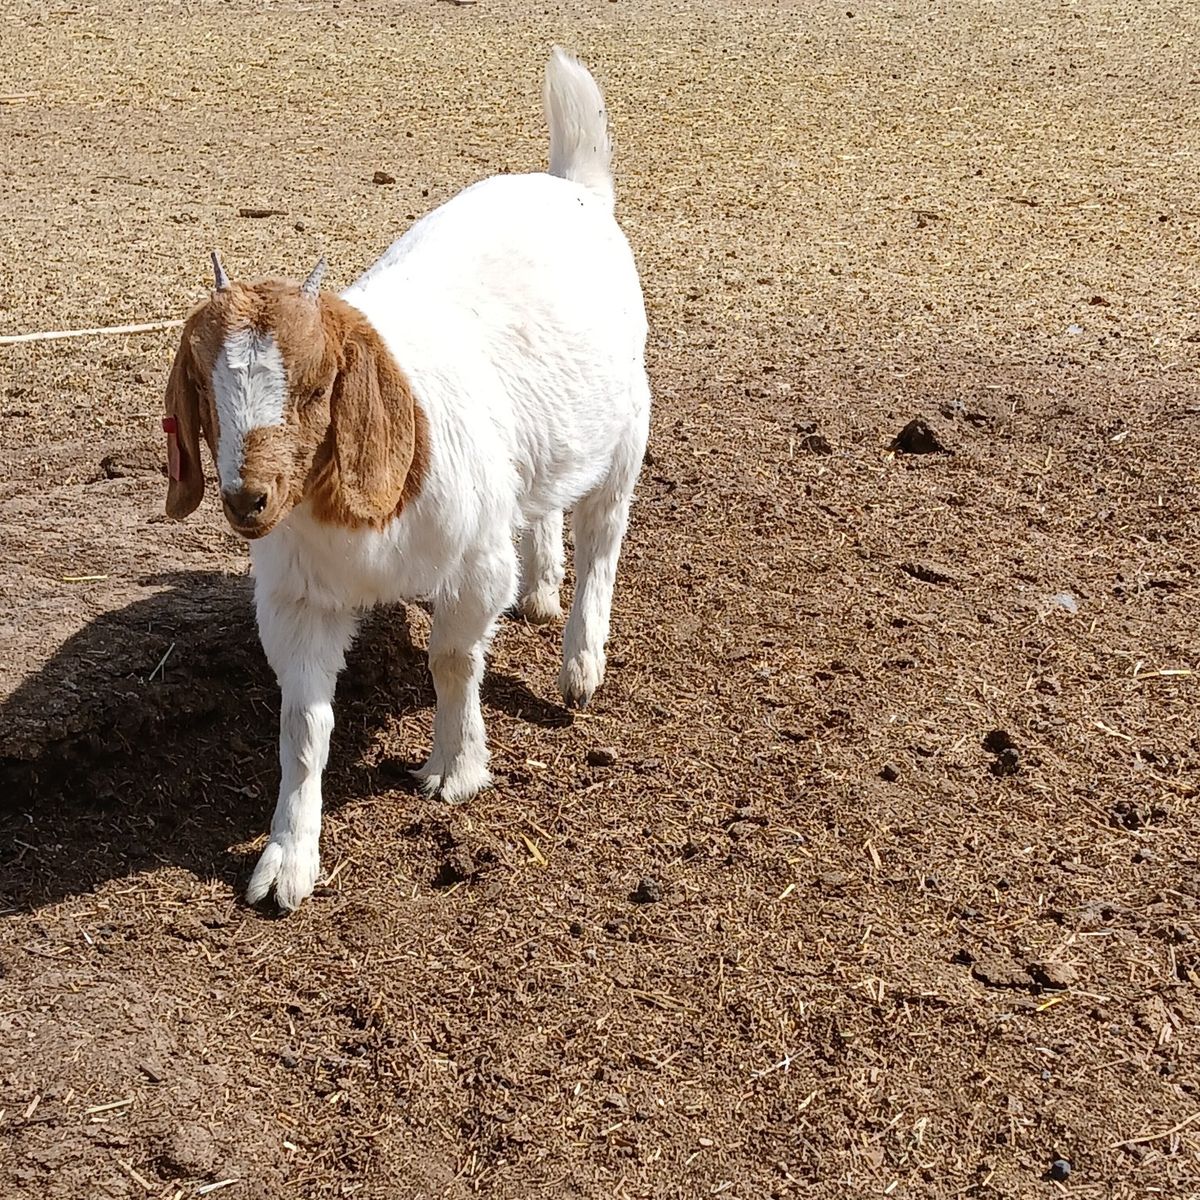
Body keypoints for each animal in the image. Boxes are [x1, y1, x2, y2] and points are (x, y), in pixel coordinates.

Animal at [161, 48, 650, 910]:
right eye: (206, 392)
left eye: (317, 388)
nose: (249, 499)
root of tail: (573, 183)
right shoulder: (296, 599)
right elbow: (303, 726)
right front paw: (286, 861)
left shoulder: (472, 562)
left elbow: (453, 662)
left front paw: (455, 771)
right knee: (544, 504)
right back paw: (540, 589)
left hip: (625, 425)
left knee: (603, 536)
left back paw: (580, 665)